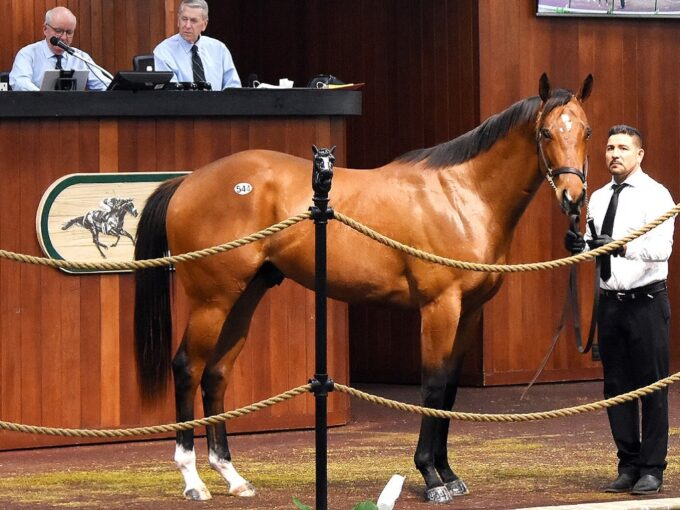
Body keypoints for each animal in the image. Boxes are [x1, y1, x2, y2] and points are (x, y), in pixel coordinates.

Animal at [135, 73, 592, 504]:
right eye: (546, 133)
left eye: (585, 131)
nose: (573, 198)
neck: (461, 196)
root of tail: (187, 181)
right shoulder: (439, 307)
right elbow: (432, 384)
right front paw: (431, 477)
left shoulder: (470, 312)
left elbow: (449, 390)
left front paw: (449, 474)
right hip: (212, 301)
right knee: (188, 368)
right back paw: (192, 479)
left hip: (244, 296)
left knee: (216, 374)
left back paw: (232, 476)